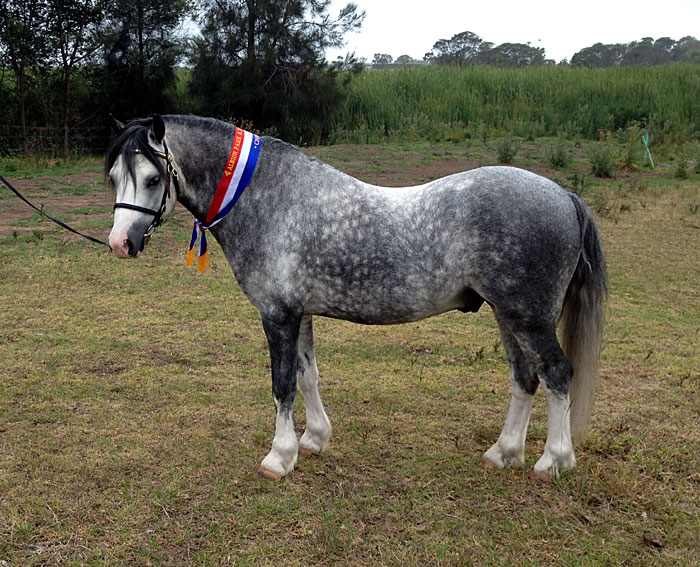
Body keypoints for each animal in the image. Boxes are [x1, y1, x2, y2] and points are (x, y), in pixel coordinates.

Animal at [106, 114, 606, 481]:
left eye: (153, 179)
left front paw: (278, 457)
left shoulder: (278, 316)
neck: (266, 197)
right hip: (508, 315)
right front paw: (313, 440)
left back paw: (553, 461)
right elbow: (308, 376)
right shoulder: (300, 314)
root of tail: (562, 194)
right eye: (113, 177)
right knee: (525, 378)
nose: (119, 244)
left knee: (557, 374)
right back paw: (503, 453)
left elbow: (282, 385)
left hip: (529, 318)